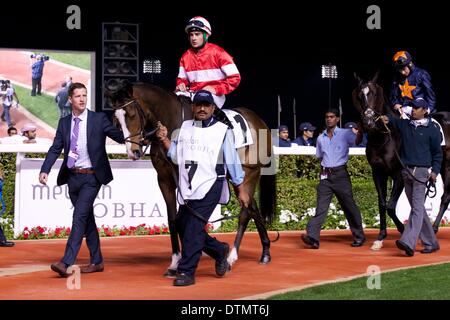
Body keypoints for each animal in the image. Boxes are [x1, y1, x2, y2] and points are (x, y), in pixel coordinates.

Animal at [106, 81, 274, 274]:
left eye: (132, 114)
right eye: (117, 119)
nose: (133, 152)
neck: (172, 122)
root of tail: (259, 121)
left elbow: (186, 218)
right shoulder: (164, 180)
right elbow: (173, 219)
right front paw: (175, 262)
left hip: (248, 174)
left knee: (245, 212)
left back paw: (232, 257)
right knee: (253, 207)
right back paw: (265, 252)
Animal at [354, 74, 450, 249]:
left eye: (375, 94)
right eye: (359, 95)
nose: (368, 121)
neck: (386, 137)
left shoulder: (400, 173)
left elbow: (391, 206)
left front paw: (402, 228)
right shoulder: (378, 173)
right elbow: (382, 204)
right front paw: (381, 236)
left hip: (447, 166)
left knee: (445, 197)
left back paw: (434, 228)